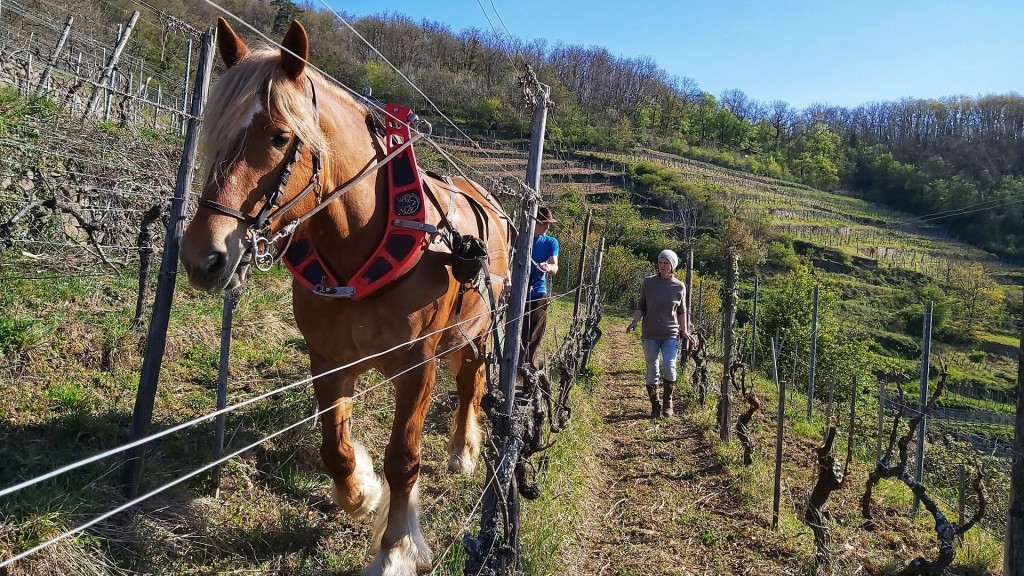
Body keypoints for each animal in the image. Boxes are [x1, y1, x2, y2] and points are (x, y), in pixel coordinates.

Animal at [180, 17, 512, 573]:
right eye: (216, 131)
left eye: (280, 137)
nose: (204, 258)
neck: (362, 245)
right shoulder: (328, 357)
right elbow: (334, 447)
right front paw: (361, 492)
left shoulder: (417, 365)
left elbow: (404, 459)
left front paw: (395, 547)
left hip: (481, 329)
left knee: (470, 386)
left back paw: (463, 451)